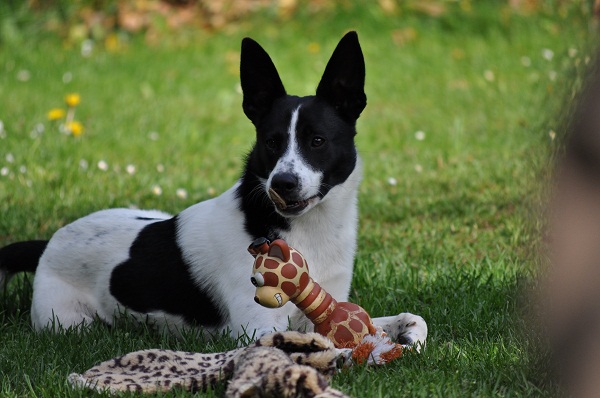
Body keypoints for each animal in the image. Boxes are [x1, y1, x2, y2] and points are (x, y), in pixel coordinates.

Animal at [0, 31, 426, 346]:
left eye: (317, 141)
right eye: (271, 142)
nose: (282, 183)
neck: (309, 231)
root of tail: (50, 242)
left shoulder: (324, 305)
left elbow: (414, 320)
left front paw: (402, 337)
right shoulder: (260, 330)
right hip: (67, 321)